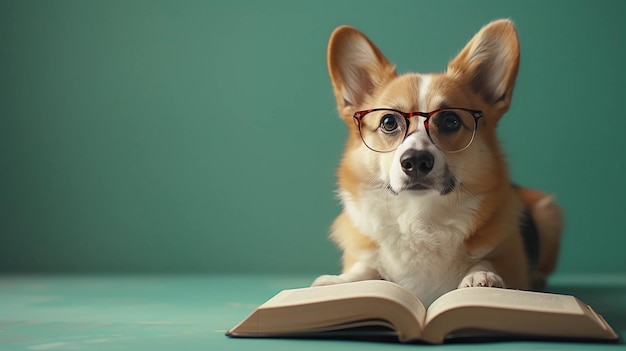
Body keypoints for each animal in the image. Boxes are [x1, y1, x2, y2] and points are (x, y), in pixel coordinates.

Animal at [312, 19, 560, 308]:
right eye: (388, 122)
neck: (420, 216)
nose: (416, 161)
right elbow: (365, 267)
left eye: (451, 120)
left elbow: (490, 261)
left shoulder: (511, 258)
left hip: (549, 213)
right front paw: (339, 282)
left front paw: (481, 276)